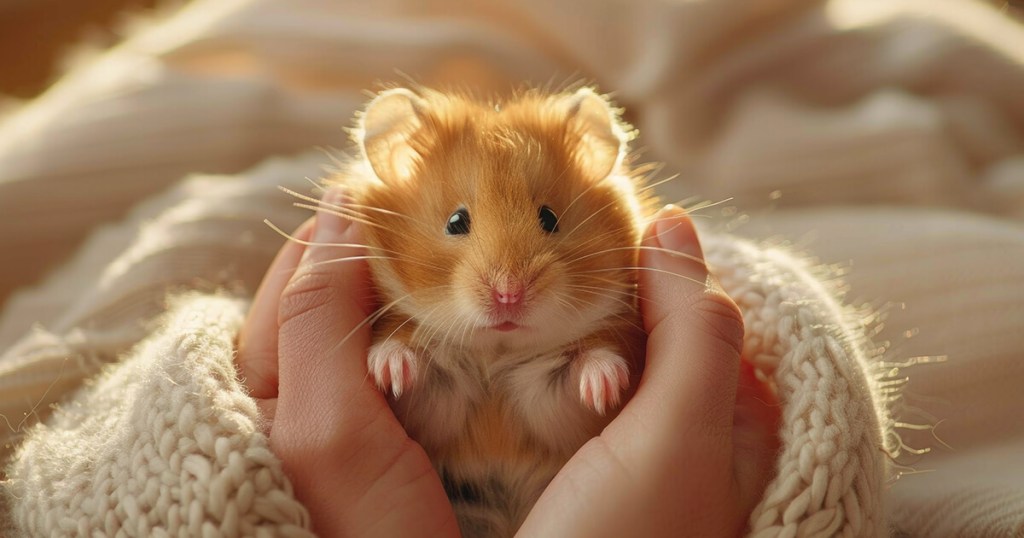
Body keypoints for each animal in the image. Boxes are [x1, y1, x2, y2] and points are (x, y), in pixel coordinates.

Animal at [327, 86, 652, 537]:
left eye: (550, 217)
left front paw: (605, 385)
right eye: (455, 221)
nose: (509, 294)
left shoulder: (555, 413)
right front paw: (390, 373)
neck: (495, 355)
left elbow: (580, 374)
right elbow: (410, 366)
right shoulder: (429, 415)